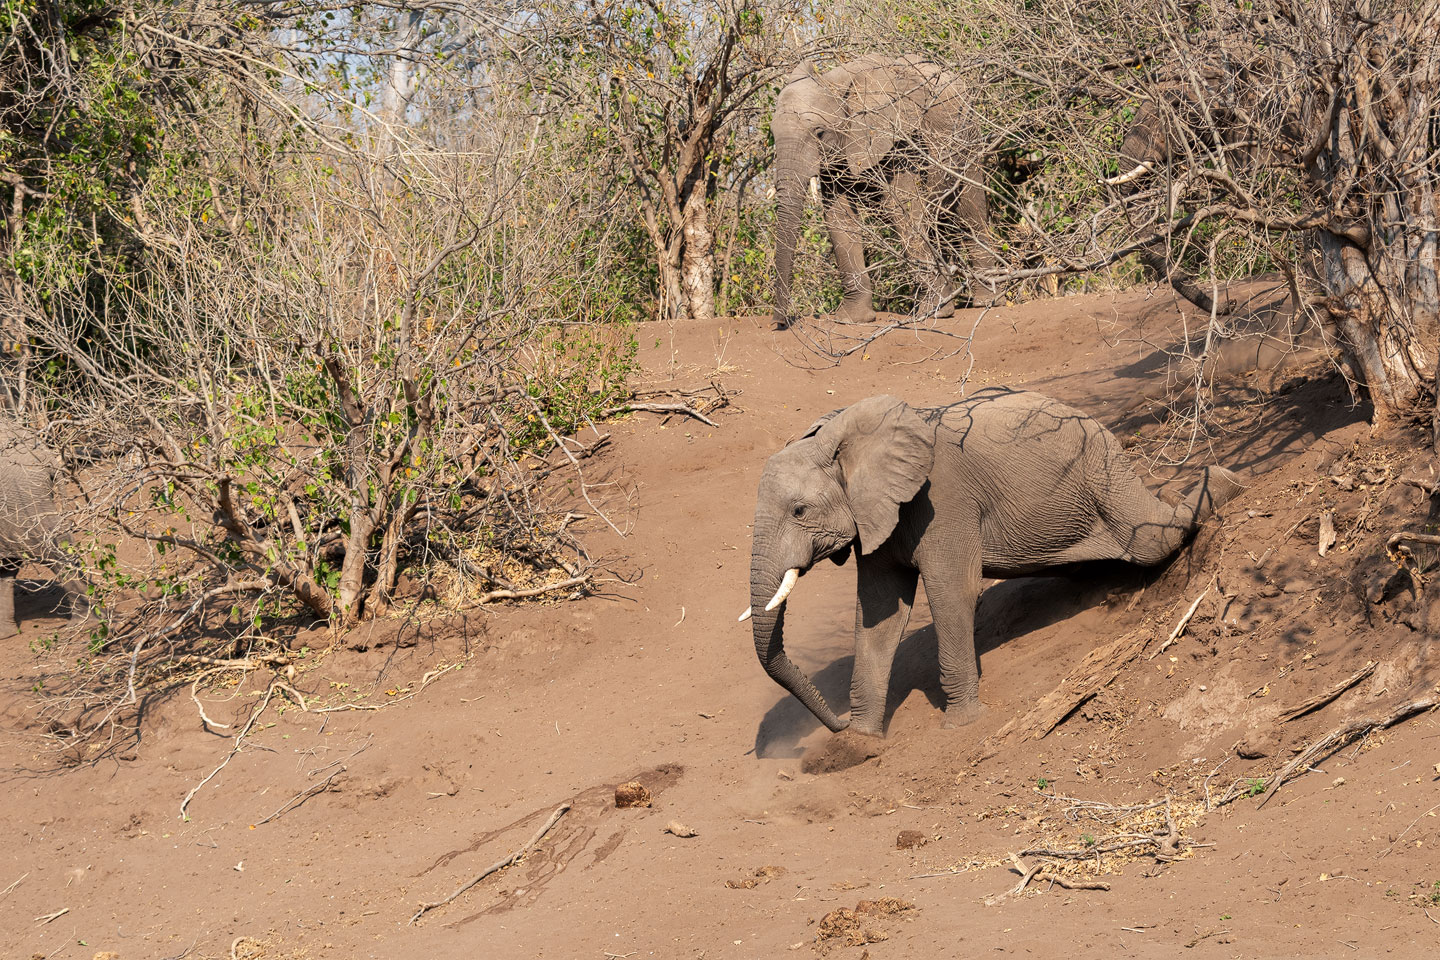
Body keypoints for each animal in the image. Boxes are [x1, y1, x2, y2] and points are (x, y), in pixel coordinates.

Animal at [743, 388, 1238, 736]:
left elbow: (952, 591)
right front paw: (860, 742)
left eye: (799, 511)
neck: (843, 437)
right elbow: (880, 613)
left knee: (1152, 538)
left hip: (1102, 471)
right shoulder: (876, 515)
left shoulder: (943, 501)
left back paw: (1222, 481)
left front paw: (960, 724)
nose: (838, 722)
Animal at [771, 58, 996, 333]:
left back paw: (986, 302)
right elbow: (839, 218)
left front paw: (933, 313)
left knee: (970, 214)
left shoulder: (895, 136)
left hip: (966, 134)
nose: (779, 323)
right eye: (773, 134)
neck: (834, 81)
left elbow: (901, 208)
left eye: (819, 132)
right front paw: (850, 320)